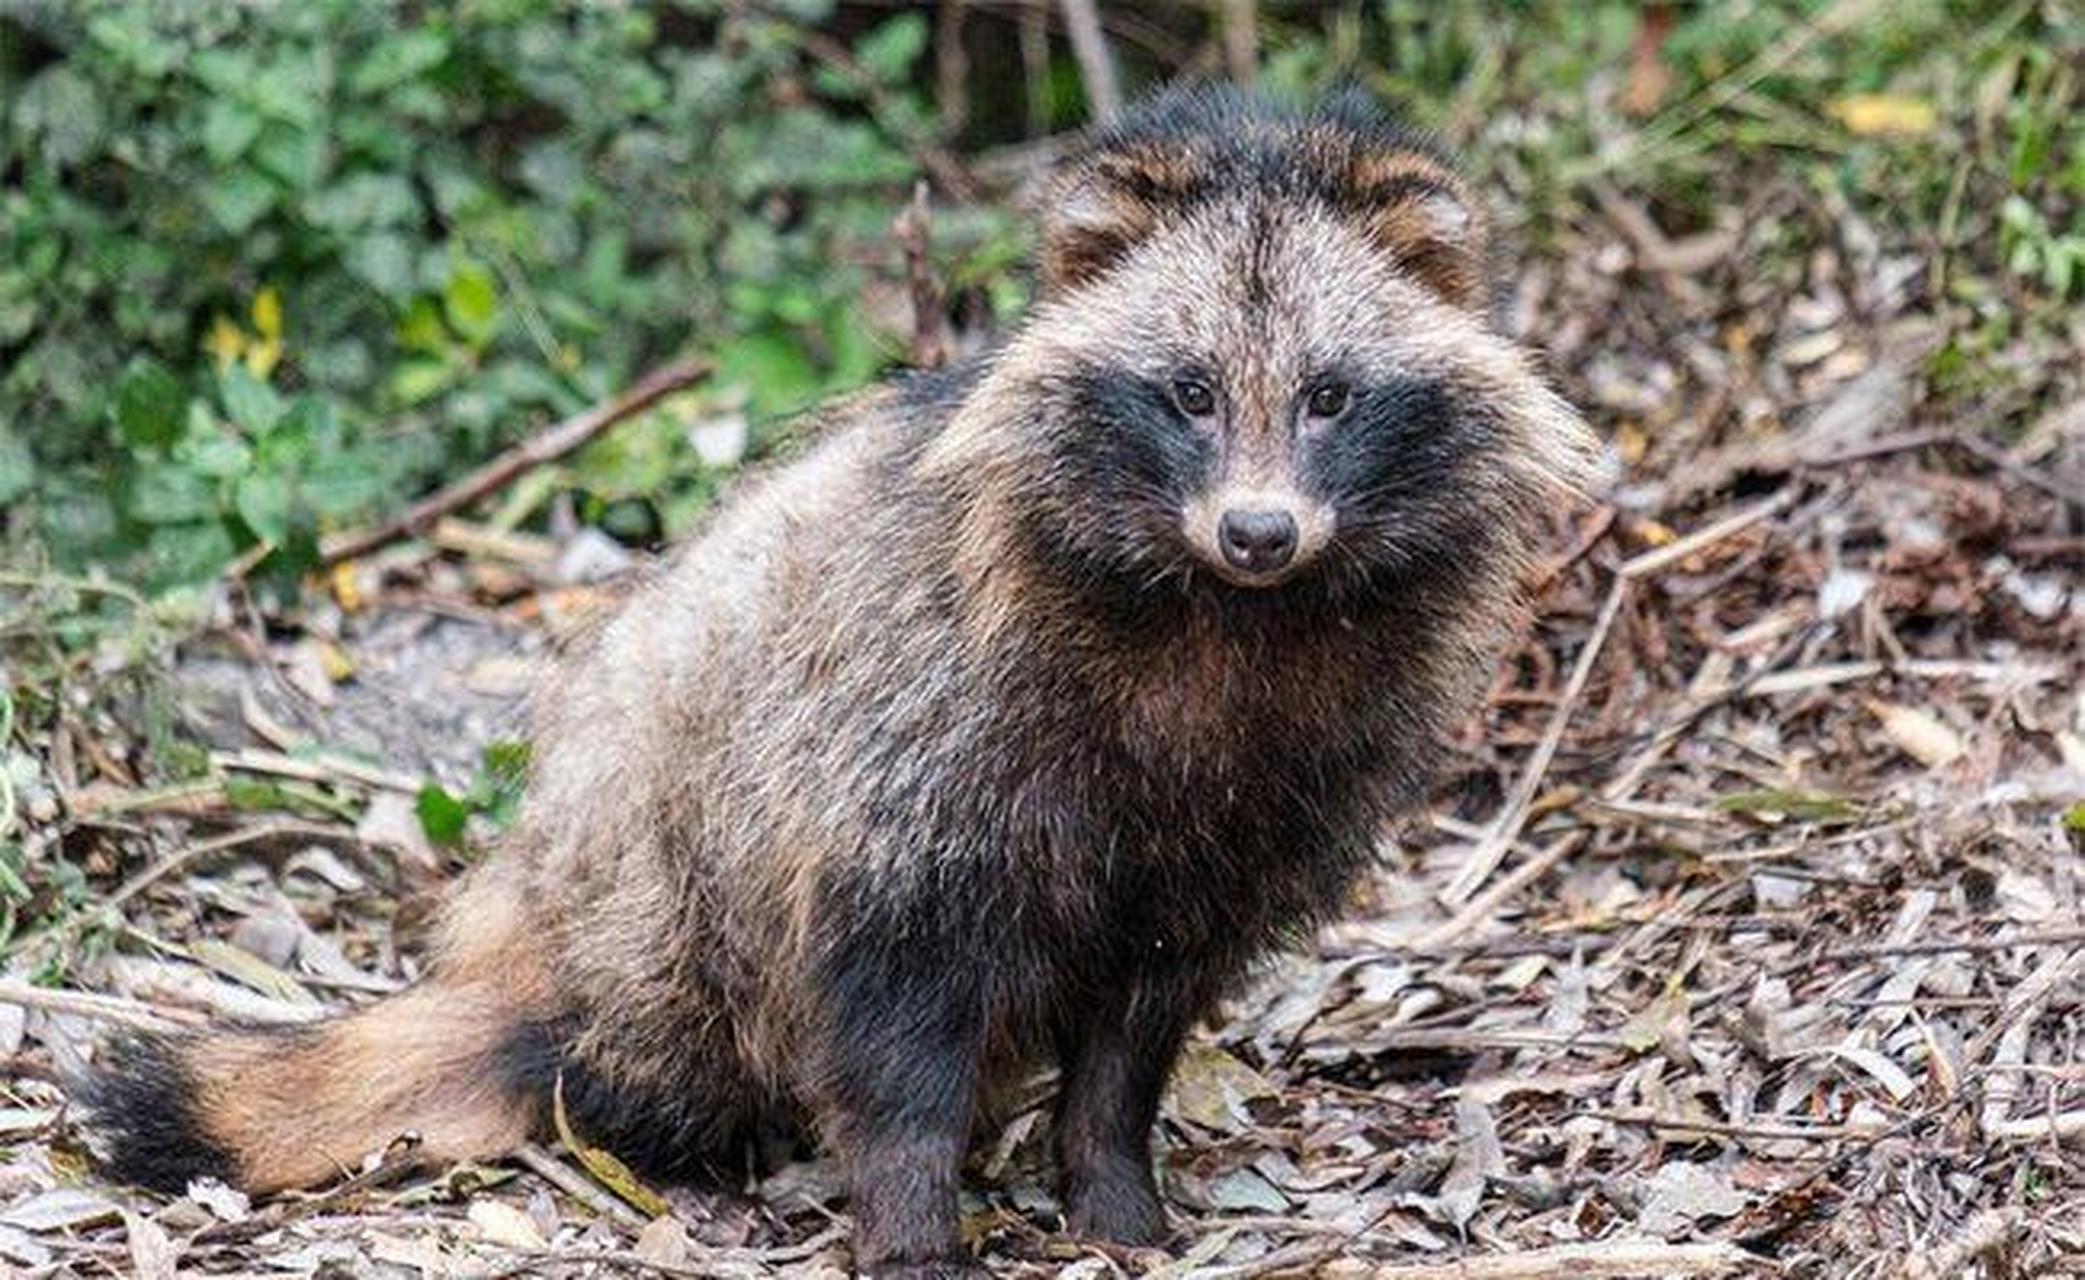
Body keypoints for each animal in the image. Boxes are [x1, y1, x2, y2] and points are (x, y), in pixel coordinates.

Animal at [85, 85, 1592, 1275]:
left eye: (1331, 396)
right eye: (1191, 392)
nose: (1260, 531)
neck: (1225, 616)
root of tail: (529, 951)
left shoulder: (1256, 802)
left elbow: (1140, 1022)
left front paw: (1111, 1187)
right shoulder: (907, 758)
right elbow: (893, 1014)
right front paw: (915, 1224)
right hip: (656, 884)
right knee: (664, 1029)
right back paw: (663, 1140)